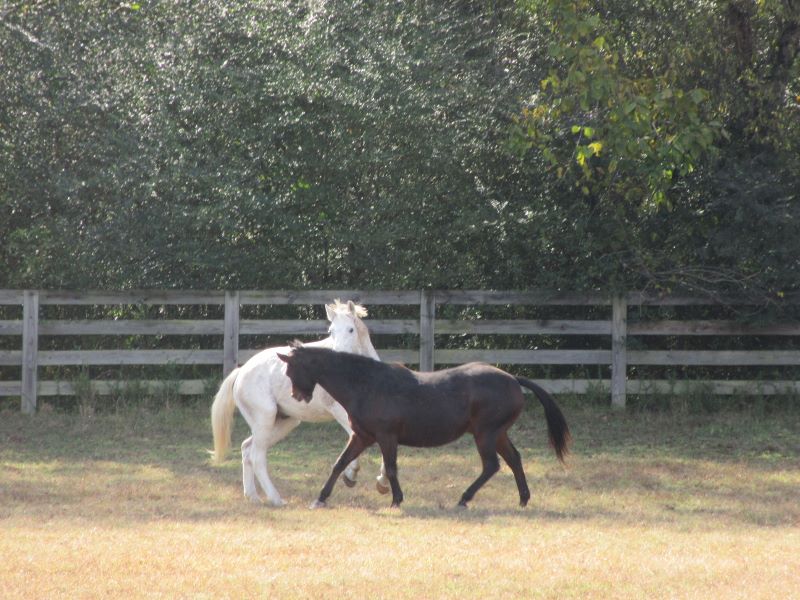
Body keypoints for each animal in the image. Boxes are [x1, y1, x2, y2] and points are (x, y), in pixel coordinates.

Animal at [211, 300, 388, 507]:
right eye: (331, 331)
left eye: (351, 329)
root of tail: (241, 371)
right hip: (265, 419)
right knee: (256, 456)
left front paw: (381, 483)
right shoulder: (343, 414)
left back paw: (253, 497)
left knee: (247, 449)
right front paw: (351, 475)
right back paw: (276, 499)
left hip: (284, 422)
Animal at [277, 342, 571, 509]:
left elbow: (391, 468)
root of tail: (512, 378)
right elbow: (339, 464)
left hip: (486, 434)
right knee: (514, 460)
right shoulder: (362, 436)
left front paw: (396, 500)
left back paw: (464, 498)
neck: (366, 384)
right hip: (497, 434)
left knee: (492, 465)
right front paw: (320, 498)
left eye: (291, 371)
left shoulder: (386, 436)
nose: (297, 396)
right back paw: (523, 499)